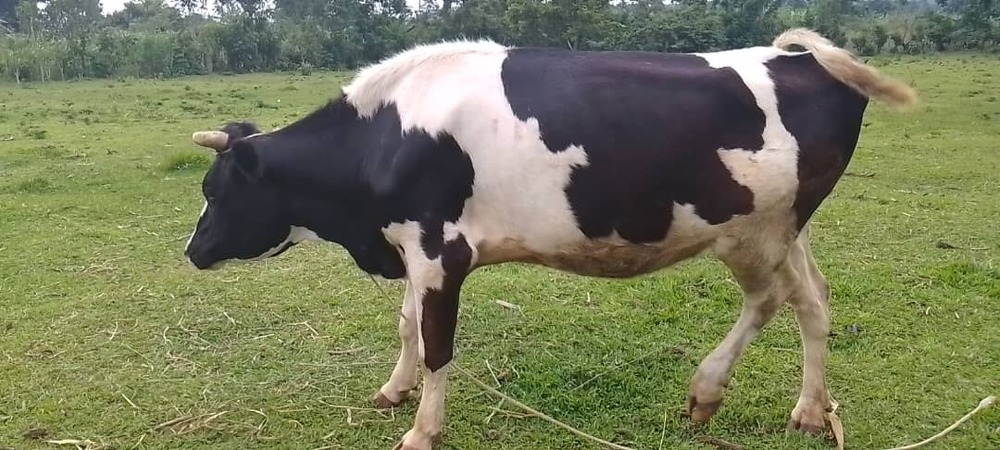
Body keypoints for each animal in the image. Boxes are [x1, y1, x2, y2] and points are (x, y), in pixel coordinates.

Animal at [182, 28, 916, 449]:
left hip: (751, 230)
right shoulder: (412, 247)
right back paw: (801, 409)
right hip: (786, 228)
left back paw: (717, 393)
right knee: (812, 299)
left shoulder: (440, 249)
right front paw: (393, 391)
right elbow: (406, 325)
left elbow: (438, 347)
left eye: (216, 191)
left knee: (772, 301)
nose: (192, 250)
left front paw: (422, 430)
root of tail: (803, 60)